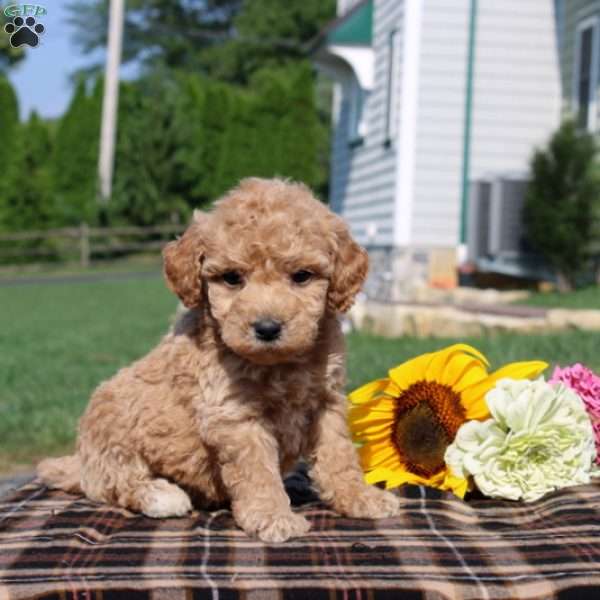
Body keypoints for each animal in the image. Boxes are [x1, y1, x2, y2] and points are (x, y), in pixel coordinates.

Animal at [39, 177, 400, 544]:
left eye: (302, 276)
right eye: (231, 278)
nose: (267, 328)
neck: (279, 363)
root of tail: (81, 461)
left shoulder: (326, 401)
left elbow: (338, 454)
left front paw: (359, 497)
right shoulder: (234, 414)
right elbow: (258, 471)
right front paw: (273, 516)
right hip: (112, 424)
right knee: (114, 482)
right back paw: (161, 495)